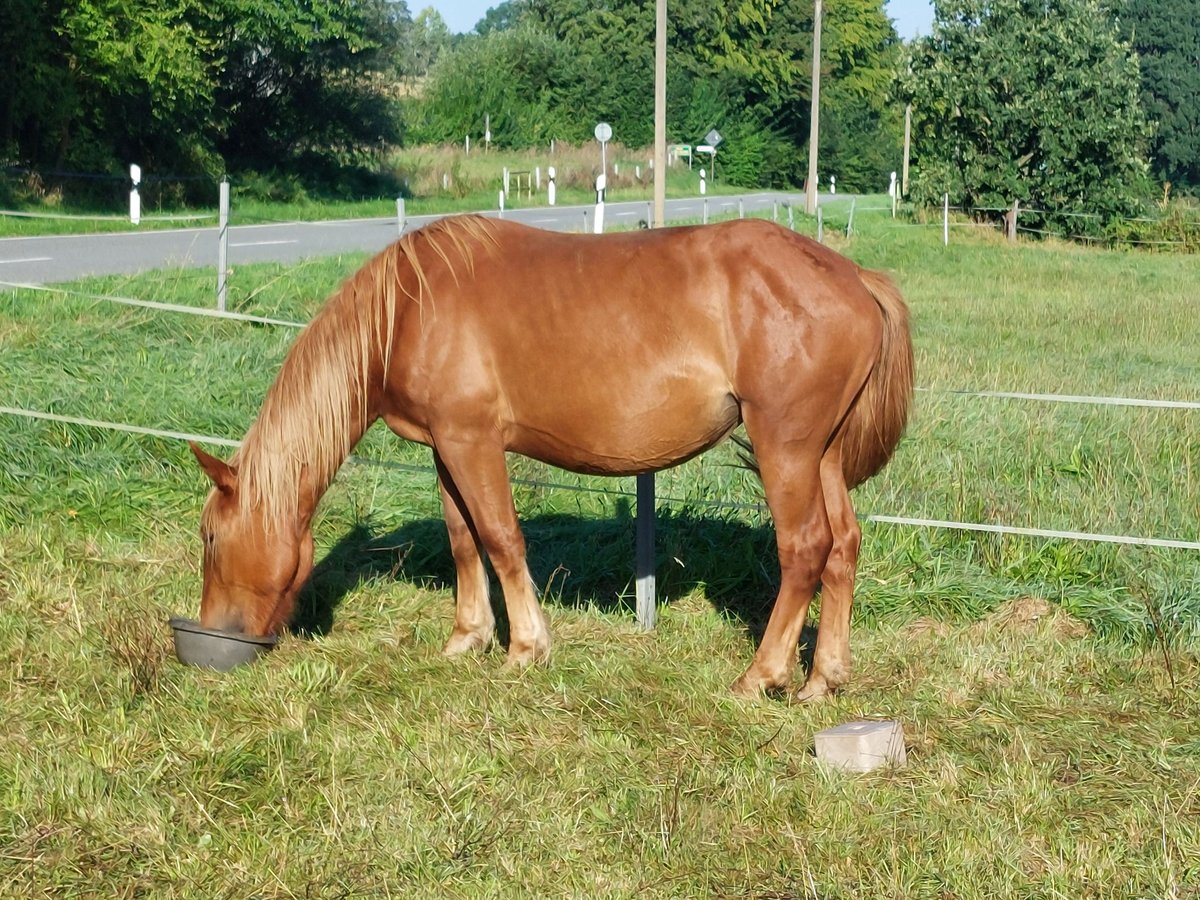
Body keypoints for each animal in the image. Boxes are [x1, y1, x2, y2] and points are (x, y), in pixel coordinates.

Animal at [192, 214, 912, 700]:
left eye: (210, 538)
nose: (215, 637)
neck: (407, 310)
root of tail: (855, 276)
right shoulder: (445, 447)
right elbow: (463, 540)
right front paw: (467, 638)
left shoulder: (473, 441)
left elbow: (501, 538)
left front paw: (525, 648)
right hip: (821, 455)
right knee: (843, 546)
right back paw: (823, 679)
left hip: (784, 448)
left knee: (805, 549)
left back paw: (761, 675)